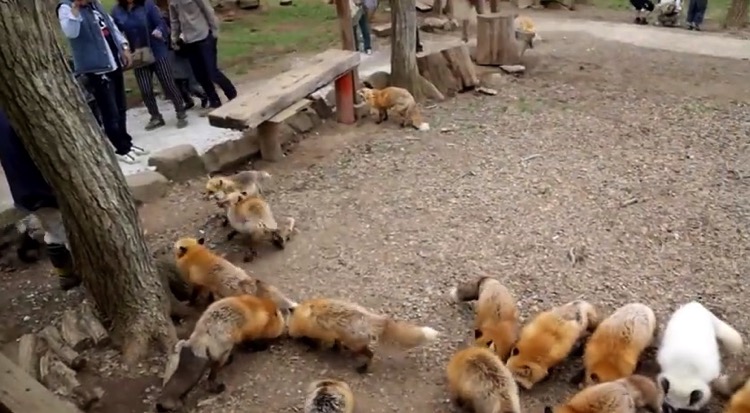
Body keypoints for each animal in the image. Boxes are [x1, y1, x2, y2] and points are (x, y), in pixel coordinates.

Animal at [157, 294, 286, 410]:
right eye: (281, 321)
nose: (282, 333)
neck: (259, 309)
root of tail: (200, 338)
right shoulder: (248, 332)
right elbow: (250, 343)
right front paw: (261, 347)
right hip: (223, 352)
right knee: (211, 377)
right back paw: (218, 385)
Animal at [288, 298, 440, 372]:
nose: (289, 335)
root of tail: (376, 320)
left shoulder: (320, 333)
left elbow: (319, 342)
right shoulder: (335, 334)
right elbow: (336, 342)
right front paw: (335, 349)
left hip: (356, 344)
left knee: (371, 355)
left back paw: (363, 367)